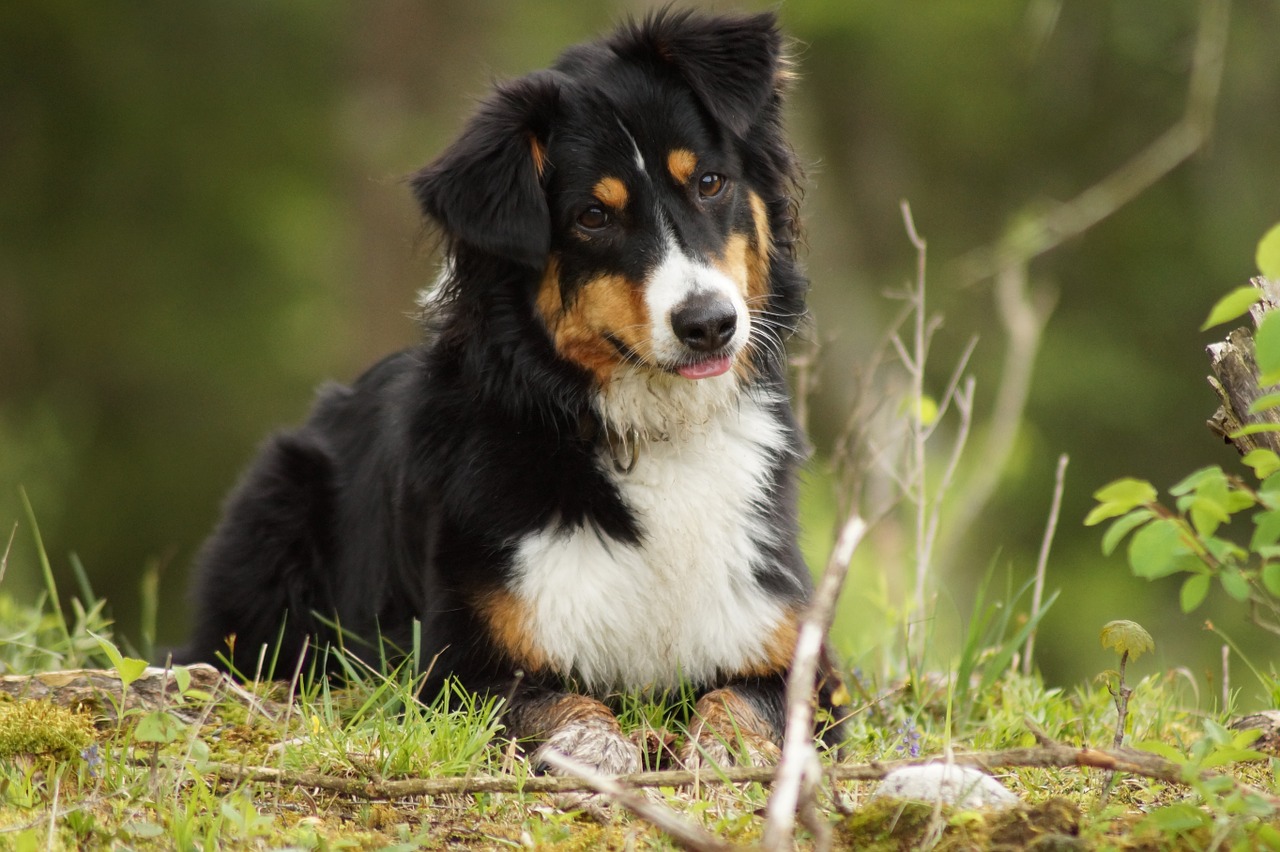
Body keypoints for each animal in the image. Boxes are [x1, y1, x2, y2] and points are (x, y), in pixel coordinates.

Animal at [175, 9, 844, 772]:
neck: (648, 431)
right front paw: (601, 751)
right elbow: (561, 705)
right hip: (280, 495)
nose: (709, 325)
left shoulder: (800, 659)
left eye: (709, 182)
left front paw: (724, 753)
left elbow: (740, 702)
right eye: (592, 217)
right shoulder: (460, 669)